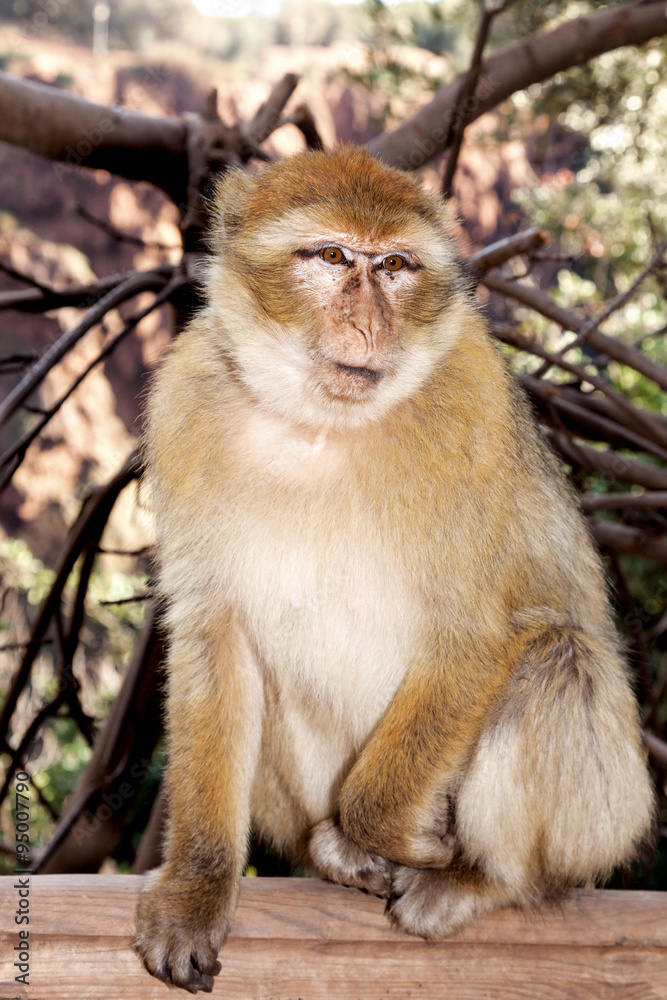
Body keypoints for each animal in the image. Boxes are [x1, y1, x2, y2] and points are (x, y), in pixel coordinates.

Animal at [134, 145, 654, 994]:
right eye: (332, 258)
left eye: (396, 266)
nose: (369, 320)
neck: (319, 426)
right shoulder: (185, 402)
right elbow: (215, 634)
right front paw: (197, 885)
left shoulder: (473, 404)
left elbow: (474, 632)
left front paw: (391, 830)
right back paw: (334, 852)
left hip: (607, 822)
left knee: (556, 659)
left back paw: (473, 877)